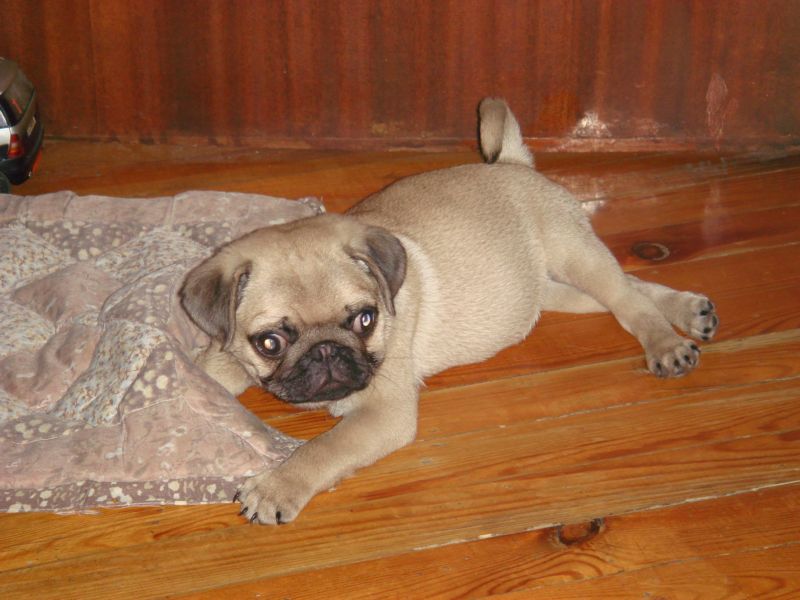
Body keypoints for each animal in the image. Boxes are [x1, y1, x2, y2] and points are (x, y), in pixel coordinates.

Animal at [180, 99, 719, 525]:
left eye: (365, 320)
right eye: (271, 342)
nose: (328, 354)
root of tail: (512, 164)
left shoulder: (384, 412)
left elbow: (324, 447)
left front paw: (277, 487)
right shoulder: (231, 348)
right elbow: (215, 368)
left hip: (576, 255)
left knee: (629, 301)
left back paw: (669, 342)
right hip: (556, 287)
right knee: (630, 289)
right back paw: (692, 310)